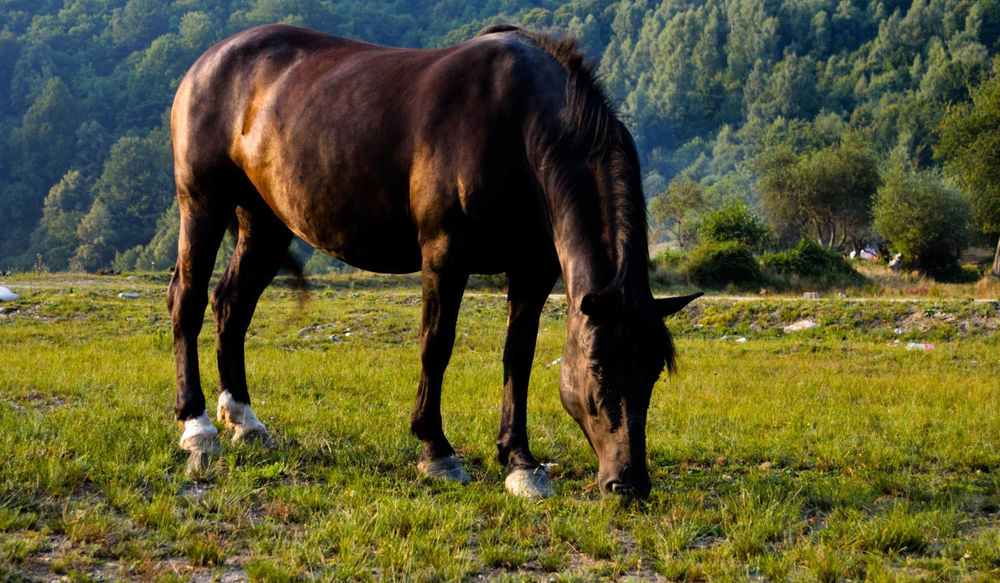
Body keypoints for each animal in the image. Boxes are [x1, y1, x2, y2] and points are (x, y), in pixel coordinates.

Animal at [168, 23, 701, 498]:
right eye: (597, 368)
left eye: (654, 371)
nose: (628, 483)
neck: (518, 126)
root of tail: (207, 62)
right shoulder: (445, 254)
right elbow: (436, 346)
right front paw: (436, 451)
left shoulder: (533, 270)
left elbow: (519, 357)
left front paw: (519, 462)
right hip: (202, 205)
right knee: (187, 301)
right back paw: (197, 427)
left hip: (264, 221)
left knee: (231, 305)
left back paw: (243, 419)